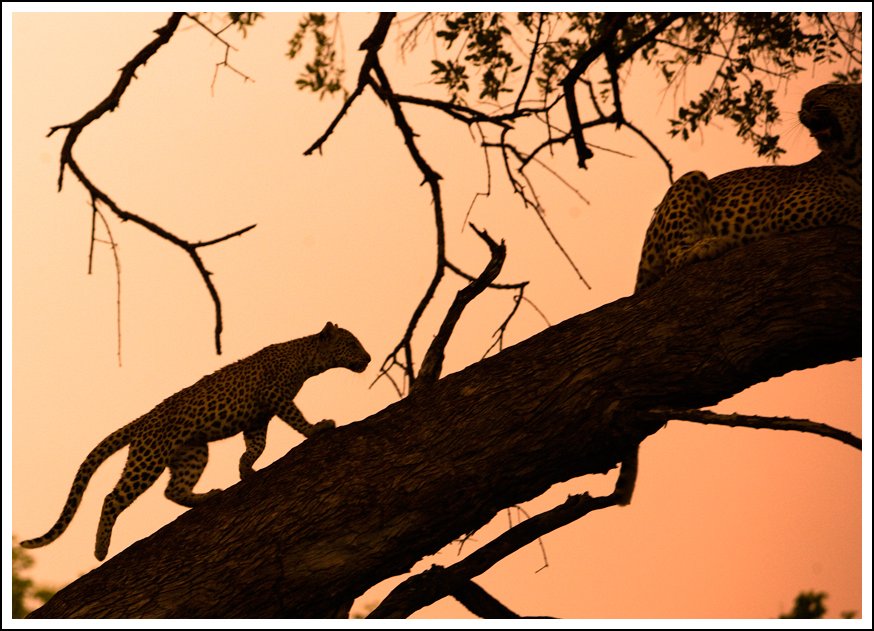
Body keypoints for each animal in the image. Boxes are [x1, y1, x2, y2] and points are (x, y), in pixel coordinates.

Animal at [21, 321, 371, 561]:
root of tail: (143, 419)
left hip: (193, 452)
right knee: (112, 498)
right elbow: (297, 421)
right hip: (148, 458)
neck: (308, 358)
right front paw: (317, 428)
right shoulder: (276, 397)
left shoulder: (258, 418)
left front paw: (245, 469)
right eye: (352, 343)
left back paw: (206, 497)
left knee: (172, 489)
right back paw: (100, 548)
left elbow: (256, 446)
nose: (368, 358)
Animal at [613, 83, 862, 506]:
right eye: (809, 98)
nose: (804, 106)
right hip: (689, 183)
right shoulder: (793, 207)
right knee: (676, 258)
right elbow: (846, 204)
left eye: (830, 91)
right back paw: (709, 245)